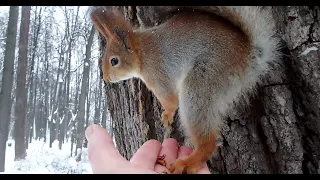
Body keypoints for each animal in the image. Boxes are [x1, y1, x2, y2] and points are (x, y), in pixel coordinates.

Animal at [89, 6, 280, 174]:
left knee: (208, 141)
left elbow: (170, 99)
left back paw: (188, 163)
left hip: (202, 81)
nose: (105, 78)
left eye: (114, 61)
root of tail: (248, 56)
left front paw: (167, 115)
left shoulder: (159, 77)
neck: (142, 54)